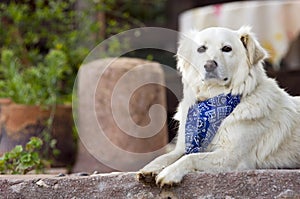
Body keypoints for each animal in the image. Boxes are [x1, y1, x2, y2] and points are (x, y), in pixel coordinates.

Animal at [137, 26, 300, 187]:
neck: (213, 100)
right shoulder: (184, 146)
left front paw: (170, 172)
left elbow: (192, 157)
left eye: (227, 48)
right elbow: (167, 156)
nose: (209, 65)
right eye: (201, 48)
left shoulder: (230, 157)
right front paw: (151, 167)